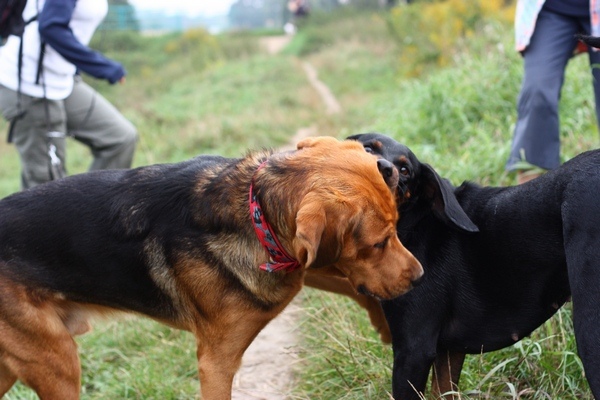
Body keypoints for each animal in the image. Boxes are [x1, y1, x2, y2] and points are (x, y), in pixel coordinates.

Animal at [0, 136, 424, 398]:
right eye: (378, 243)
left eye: (395, 229)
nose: (420, 277)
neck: (257, 211)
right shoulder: (215, 364)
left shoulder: (301, 264)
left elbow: (355, 285)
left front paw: (386, 325)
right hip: (58, 364)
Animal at [336, 133, 596, 398]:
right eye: (368, 148)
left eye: (405, 170)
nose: (384, 169)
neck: (414, 221)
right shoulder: (449, 352)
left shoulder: (413, 351)